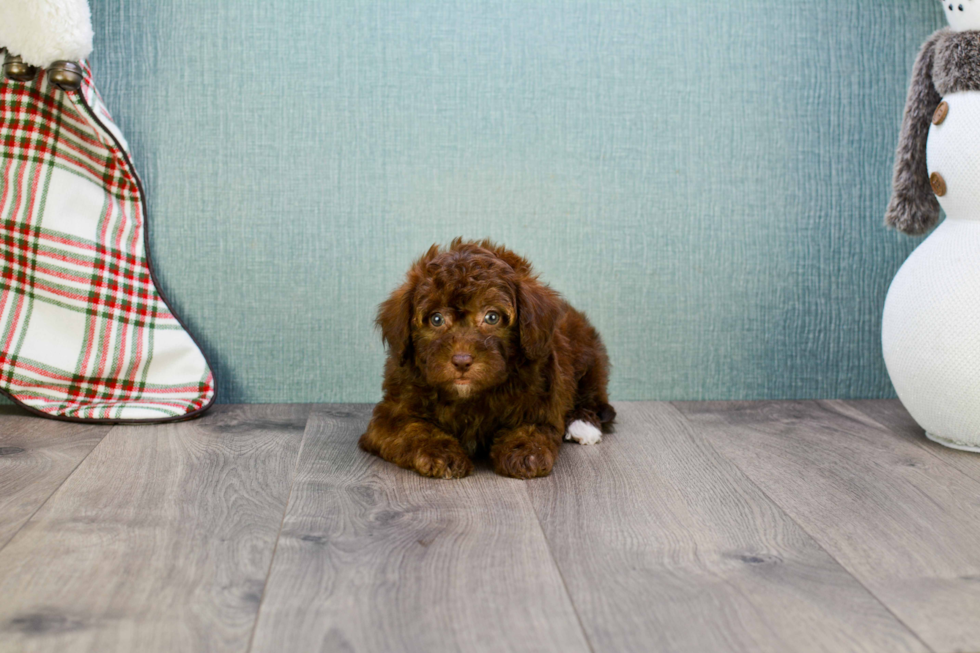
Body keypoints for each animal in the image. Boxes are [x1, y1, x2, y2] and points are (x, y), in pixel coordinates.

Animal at [360, 237, 612, 476]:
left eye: (492, 317)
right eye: (436, 319)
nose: (462, 361)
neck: (470, 397)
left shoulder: (542, 398)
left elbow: (533, 427)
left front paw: (526, 452)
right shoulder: (391, 413)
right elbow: (413, 429)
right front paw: (442, 454)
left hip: (587, 353)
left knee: (593, 395)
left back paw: (583, 424)